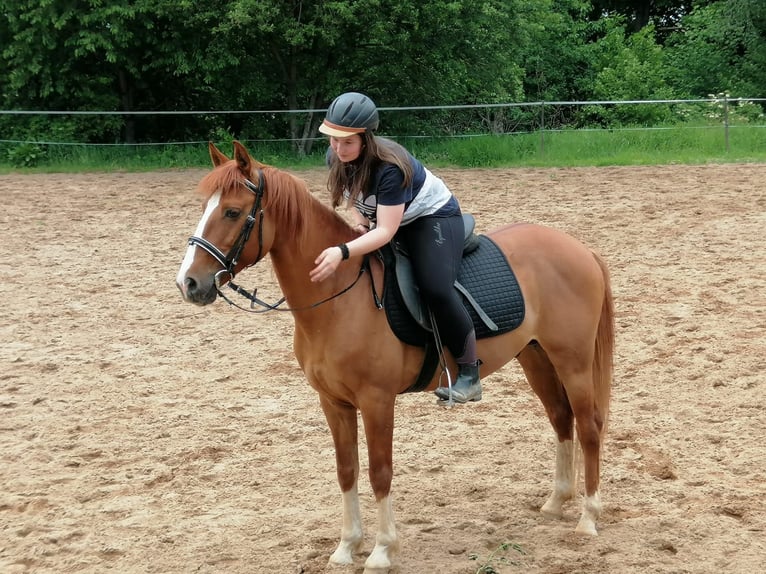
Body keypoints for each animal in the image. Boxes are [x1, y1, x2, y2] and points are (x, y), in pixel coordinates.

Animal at [177, 142, 616, 572]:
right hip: (536, 357)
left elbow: (380, 472)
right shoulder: (333, 402)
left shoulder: (376, 400)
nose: (189, 283)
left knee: (589, 427)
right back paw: (557, 501)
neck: (338, 296)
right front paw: (346, 546)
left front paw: (382, 550)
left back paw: (589, 517)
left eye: (232, 212)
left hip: (573, 361)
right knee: (561, 418)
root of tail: (580, 248)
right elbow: (347, 470)